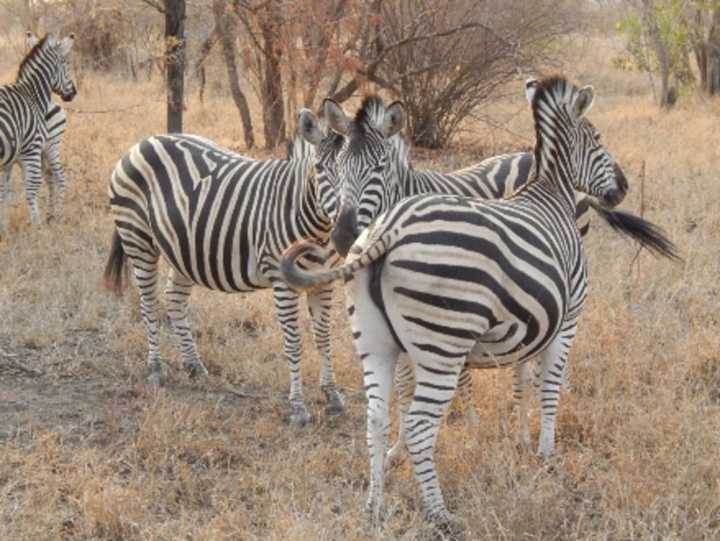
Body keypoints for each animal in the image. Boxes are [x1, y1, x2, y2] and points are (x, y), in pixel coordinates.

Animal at [102, 110, 348, 426]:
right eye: (319, 169)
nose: (346, 225)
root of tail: (144, 142)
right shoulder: (283, 282)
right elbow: (294, 343)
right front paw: (297, 408)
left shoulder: (324, 282)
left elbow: (324, 338)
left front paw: (332, 395)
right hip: (138, 239)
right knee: (148, 305)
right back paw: (155, 368)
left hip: (183, 249)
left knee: (174, 300)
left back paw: (194, 365)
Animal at [282, 77, 632, 532]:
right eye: (598, 138)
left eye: (378, 167)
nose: (622, 188)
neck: (549, 192)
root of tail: (388, 231)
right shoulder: (567, 316)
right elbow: (548, 384)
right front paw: (544, 453)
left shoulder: (530, 318)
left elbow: (522, 379)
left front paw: (517, 438)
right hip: (442, 343)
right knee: (418, 424)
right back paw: (439, 512)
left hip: (377, 341)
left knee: (375, 417)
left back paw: (375, 507)